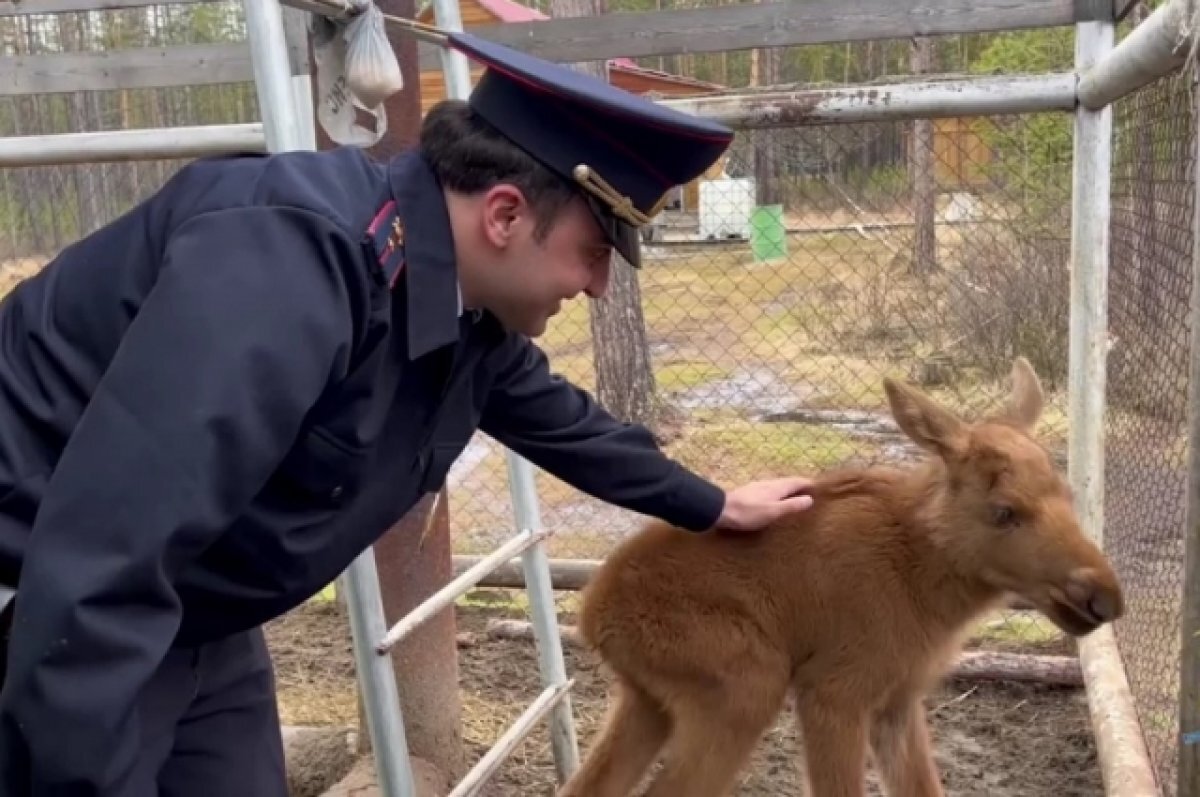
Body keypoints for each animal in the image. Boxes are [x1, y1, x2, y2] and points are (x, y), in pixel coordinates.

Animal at [559, 360, 1123, 797]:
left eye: (1068, 494)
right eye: (1004, 511)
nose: (1105, 598)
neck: (929, 587)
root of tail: (593, 617)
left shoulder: (899, 700)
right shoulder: (833, 691)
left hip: (649, 697)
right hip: (745, 683)